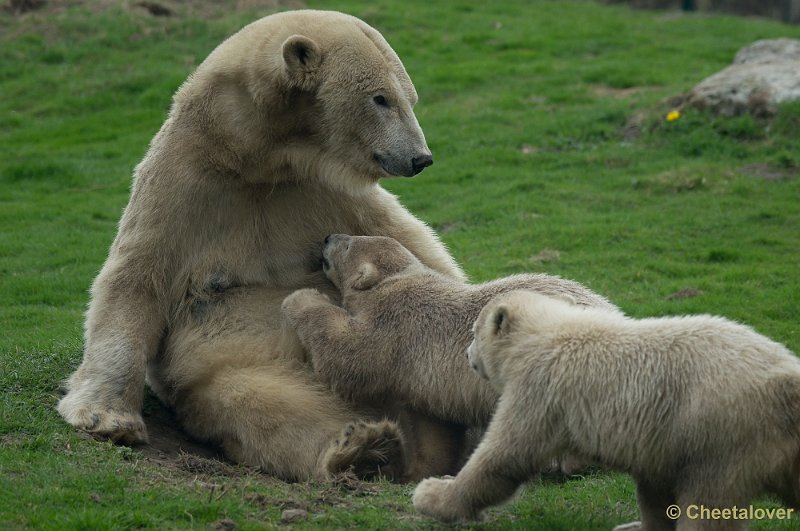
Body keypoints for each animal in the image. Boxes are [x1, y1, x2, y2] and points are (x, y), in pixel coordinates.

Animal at [57, 9, 462, 482]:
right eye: (381, 98)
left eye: (409, 98)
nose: (420, 157)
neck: (255, 160)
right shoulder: (183, 184)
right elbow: (136, 281)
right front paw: (107, 418)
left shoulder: (332, 194)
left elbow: (422, 252)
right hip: (240, 369)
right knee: (265, 402)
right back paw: (363, 448)